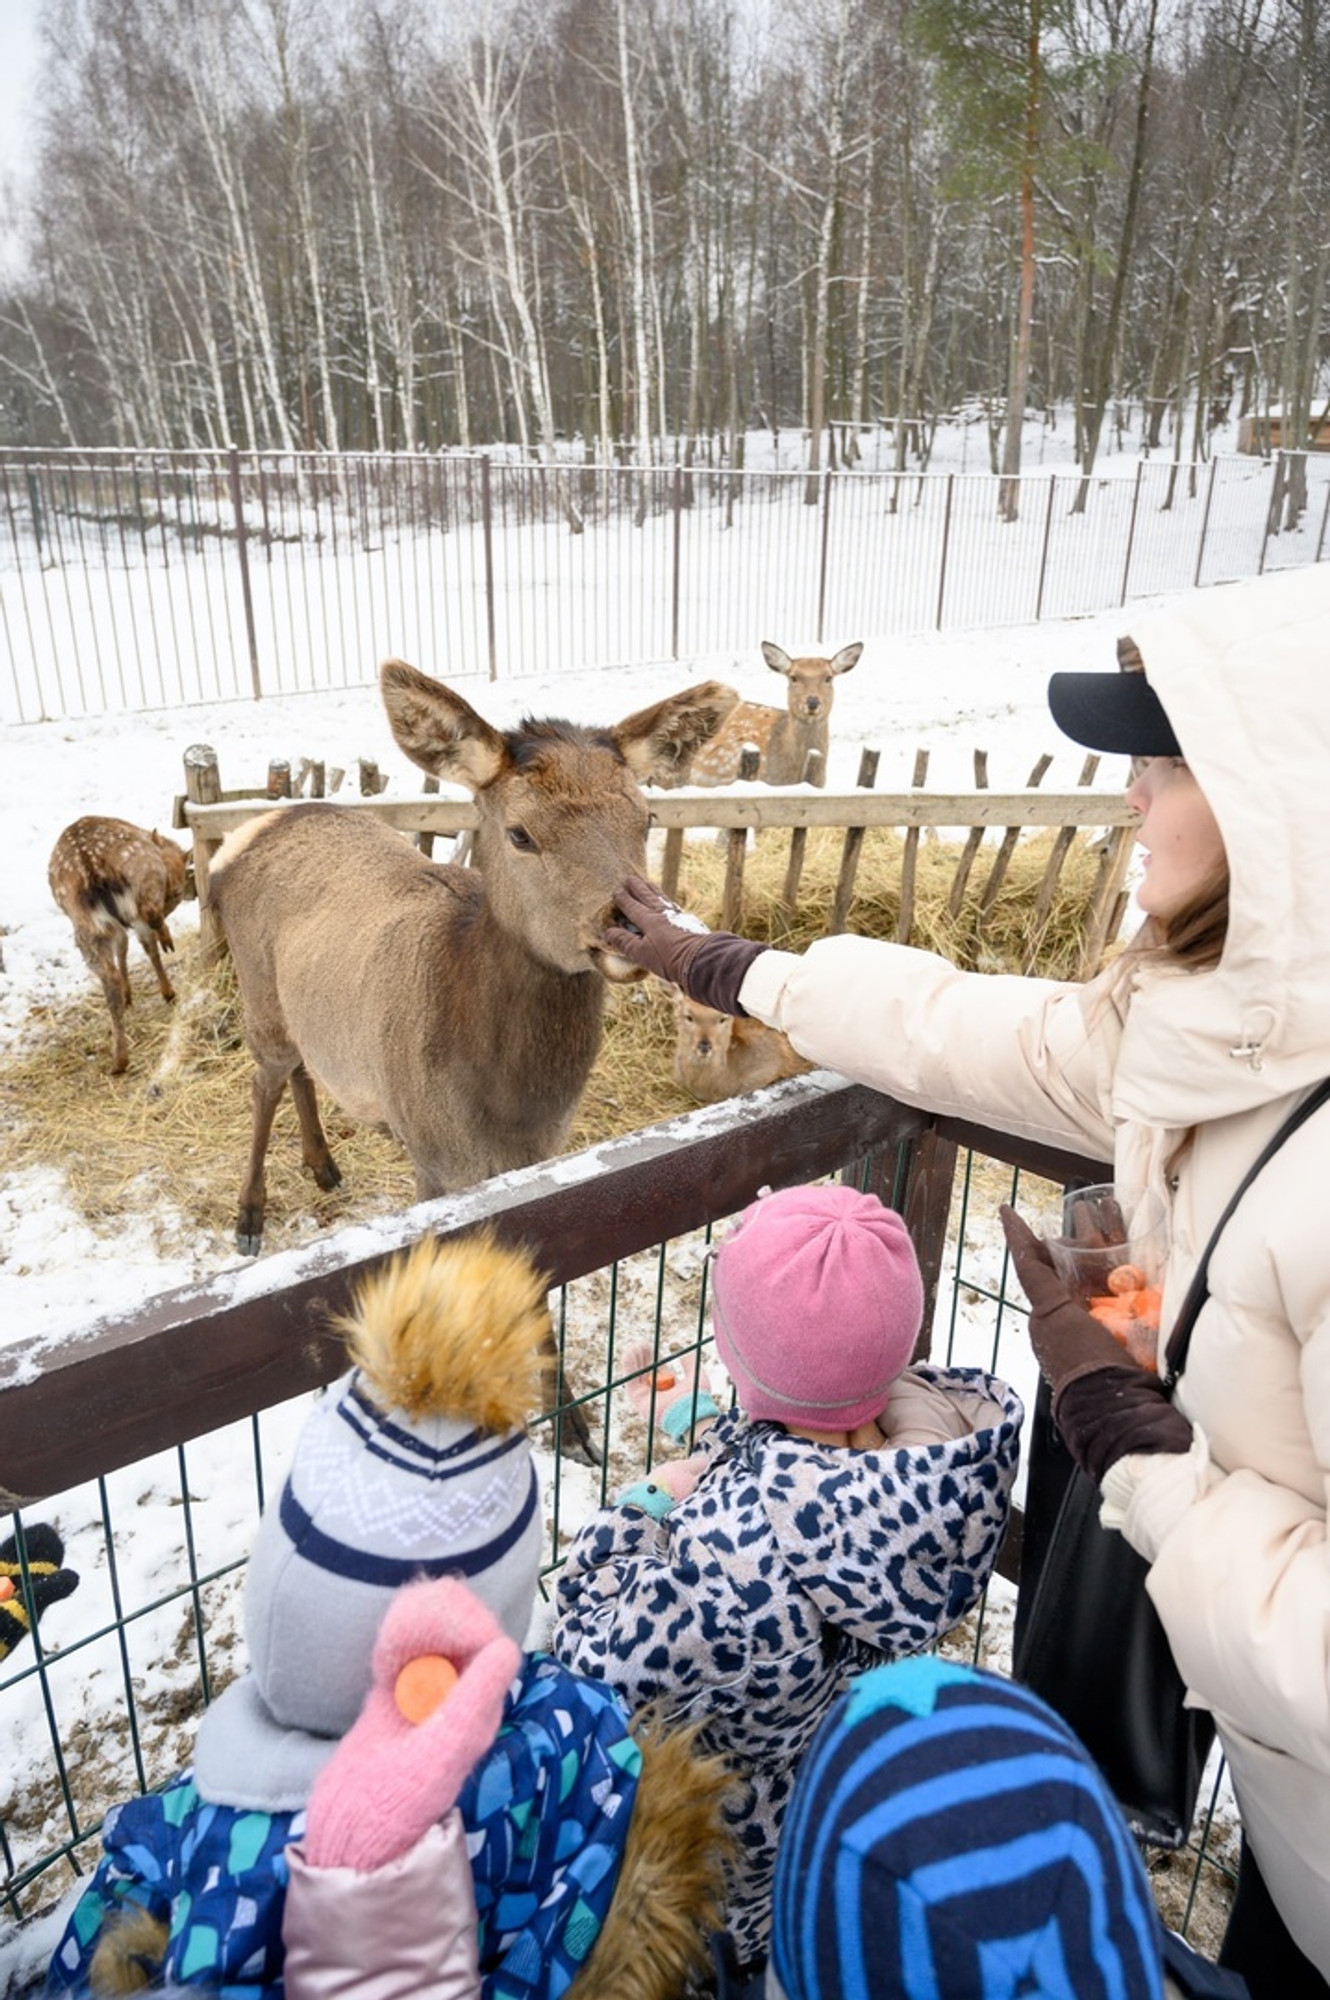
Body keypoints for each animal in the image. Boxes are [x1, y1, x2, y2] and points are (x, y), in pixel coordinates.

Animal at [48, 816, 192, 1080]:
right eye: (177, 890)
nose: (170, 902)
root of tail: (92, 868)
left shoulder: (117, 926)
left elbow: (125, 948)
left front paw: (130, 995)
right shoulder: (134, 917)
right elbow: (146, 946)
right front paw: (166, 992)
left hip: (87, 925)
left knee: (109, 975)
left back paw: (119, 1060)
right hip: (143, 882)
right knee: (150, 916)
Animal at [213, 660, 740, 1248]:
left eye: (647, 818)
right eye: (520, 833)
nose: (630, 923)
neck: (507, 1115)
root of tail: (249, 831)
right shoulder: (432, 1157)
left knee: (302, 1069)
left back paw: (324, 1167)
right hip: (259, 998)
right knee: (264, 1082)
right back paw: (248, 1216)